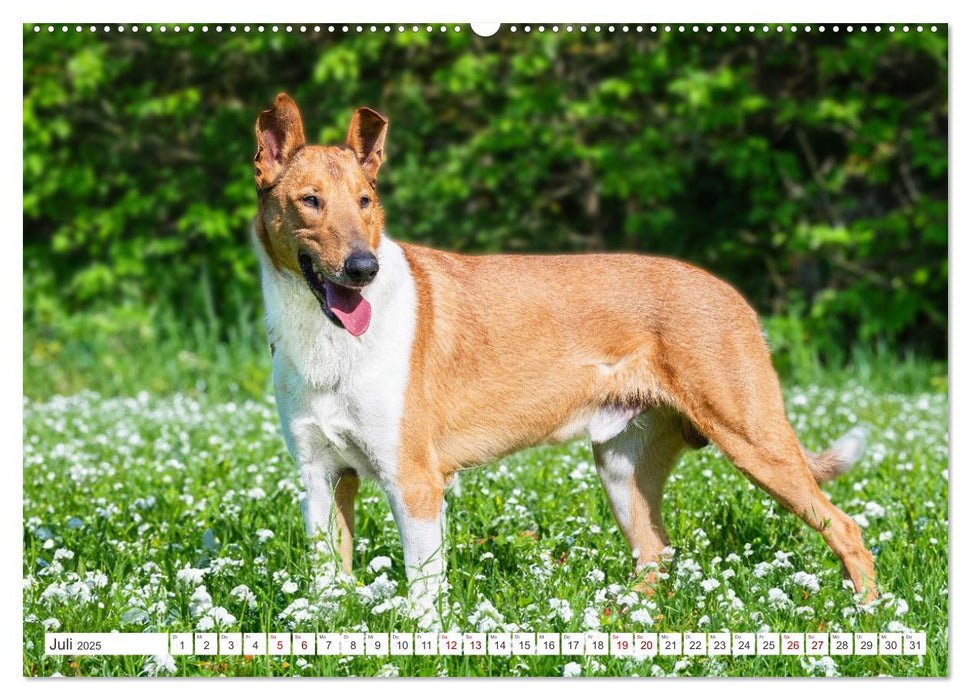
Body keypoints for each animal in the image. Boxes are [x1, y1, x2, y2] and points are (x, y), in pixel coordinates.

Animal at [251, 93, 880, 608]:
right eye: (310, 201)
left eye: (365, 202)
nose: (364, 268)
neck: (327, 342)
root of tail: (733, 296)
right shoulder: (322, 478)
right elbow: (327, 588)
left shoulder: (415, 481)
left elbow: (424, 595)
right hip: (622, 469)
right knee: (656, 558)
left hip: (753, 440)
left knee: (846, 530)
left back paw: (867, 614)